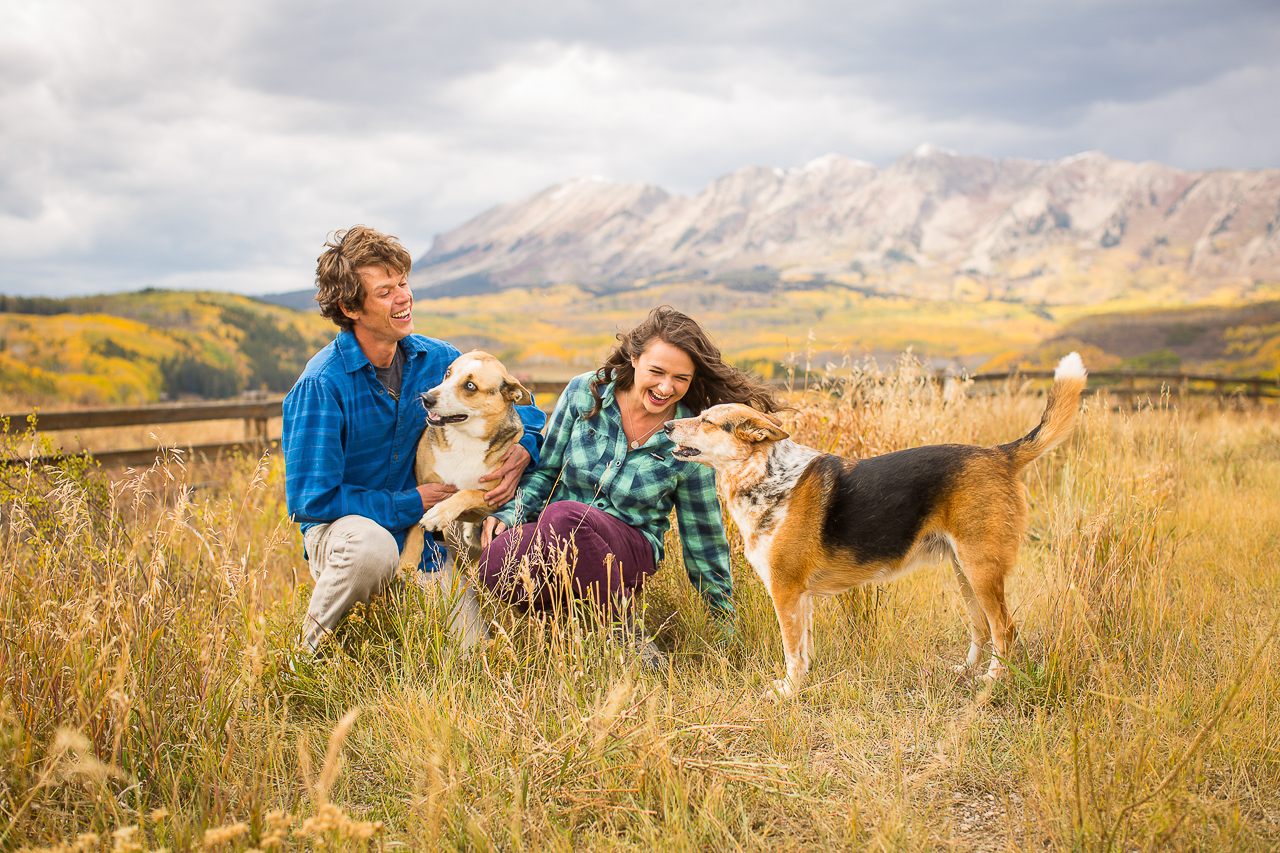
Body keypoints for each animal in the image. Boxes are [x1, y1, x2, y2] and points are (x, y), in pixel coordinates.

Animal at [394, 348, 524, 573]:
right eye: (448, 372)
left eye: (470, 386)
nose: (426, 398)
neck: (465, 439)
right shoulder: (422, 487)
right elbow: (415, 528)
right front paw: (406, 566)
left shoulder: (494, 501)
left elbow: (467, 492)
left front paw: (439, 513)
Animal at [665, 350, 1085, 691]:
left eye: (706, 420)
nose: (666, 427)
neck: (766, 475)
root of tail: (999, 454)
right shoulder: (801, 597)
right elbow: (804, 649)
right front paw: (803, 684)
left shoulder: (785, 591)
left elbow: (791, 651)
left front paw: (788, 692)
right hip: (965, 571)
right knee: (982, 629)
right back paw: (967, 673)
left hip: (980, 568)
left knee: (1004, 629)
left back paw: (993, 682)